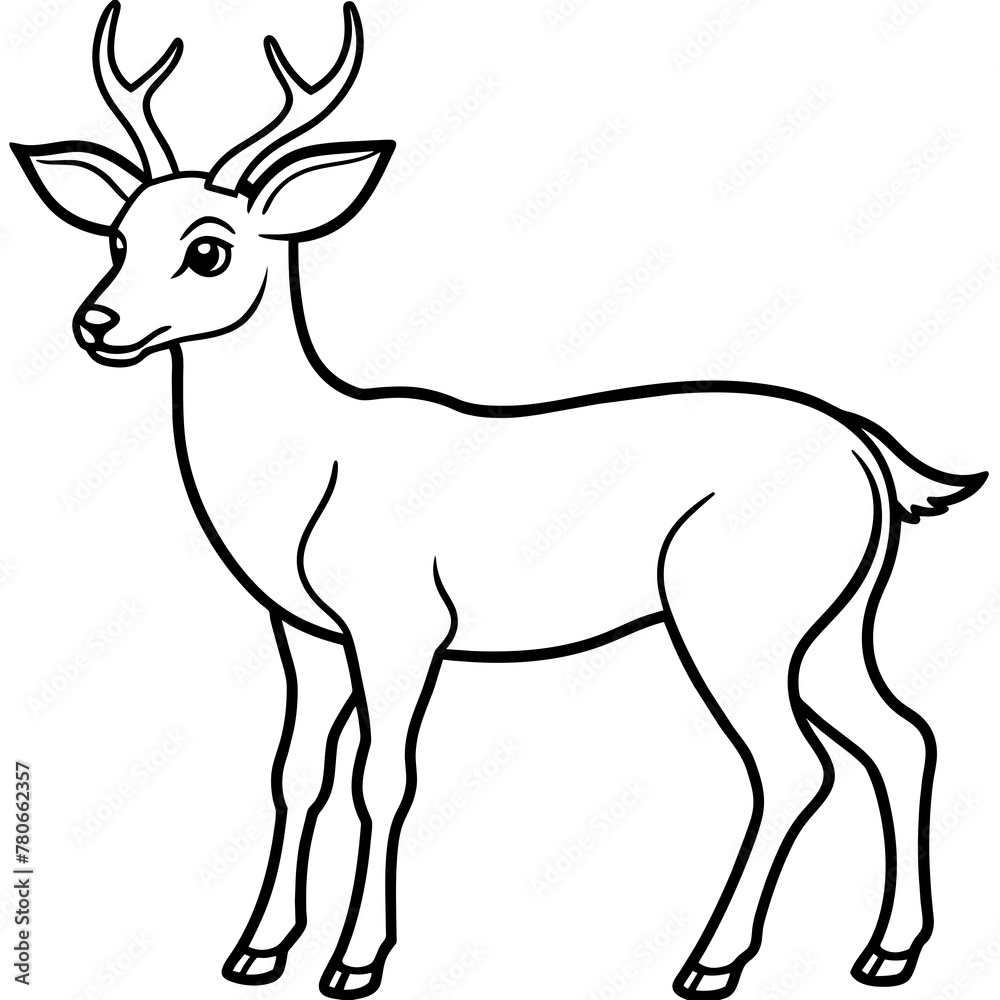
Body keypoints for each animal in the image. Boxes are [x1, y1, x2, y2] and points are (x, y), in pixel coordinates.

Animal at [11, 3, 987, 998]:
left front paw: (354, 962)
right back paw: (886, 951)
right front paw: (256, 951)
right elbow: (296, 774)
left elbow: (383, 778)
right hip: (831, 624)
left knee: (794, 765)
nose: (97, 323)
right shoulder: (306, 634)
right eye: (118, 236)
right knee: (902, 736)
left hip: (734, 617)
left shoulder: (401, 625)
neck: (315, 466)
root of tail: (865, 449)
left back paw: (710, 963)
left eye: (209, 249)